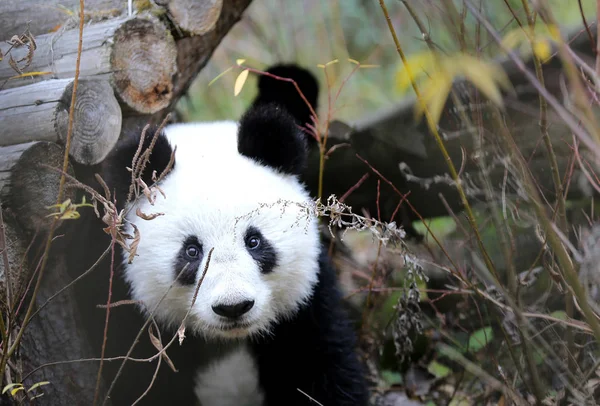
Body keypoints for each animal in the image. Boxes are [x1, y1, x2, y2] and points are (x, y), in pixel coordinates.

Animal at [84, 65, 368, 404]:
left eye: (254, 241)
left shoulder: (306, 305)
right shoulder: (129, 313)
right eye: (191, 251)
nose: (233, 307)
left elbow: (321, 366)